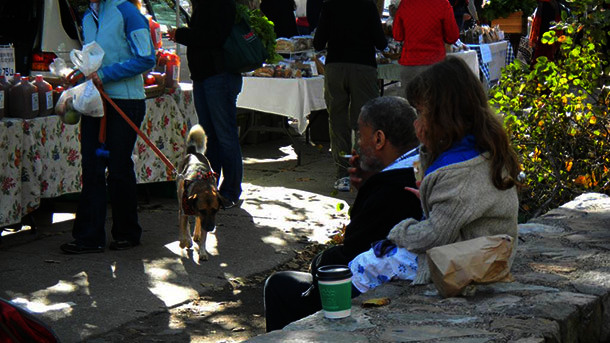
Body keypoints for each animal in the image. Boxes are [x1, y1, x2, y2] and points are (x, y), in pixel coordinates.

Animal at [175, 125, 224, 262]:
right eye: (202, 210)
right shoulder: (184, 211)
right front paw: (185, 242)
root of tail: (194, 152)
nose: (210, 228)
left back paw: (196, 234)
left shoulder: (206, 219)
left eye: (215, 210)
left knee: (197, 220)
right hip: (180, 201)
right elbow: (183, 230)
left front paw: (202, 251)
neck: (201, 184)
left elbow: (203, 237)